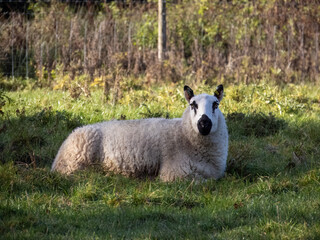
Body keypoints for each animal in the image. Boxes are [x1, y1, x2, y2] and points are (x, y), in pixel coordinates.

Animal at [52, 85, 228, 181]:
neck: (183, 133)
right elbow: (203, 182)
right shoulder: (175, 172)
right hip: (75, 163)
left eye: (216, 104)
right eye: (193, 105)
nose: (204, 124)